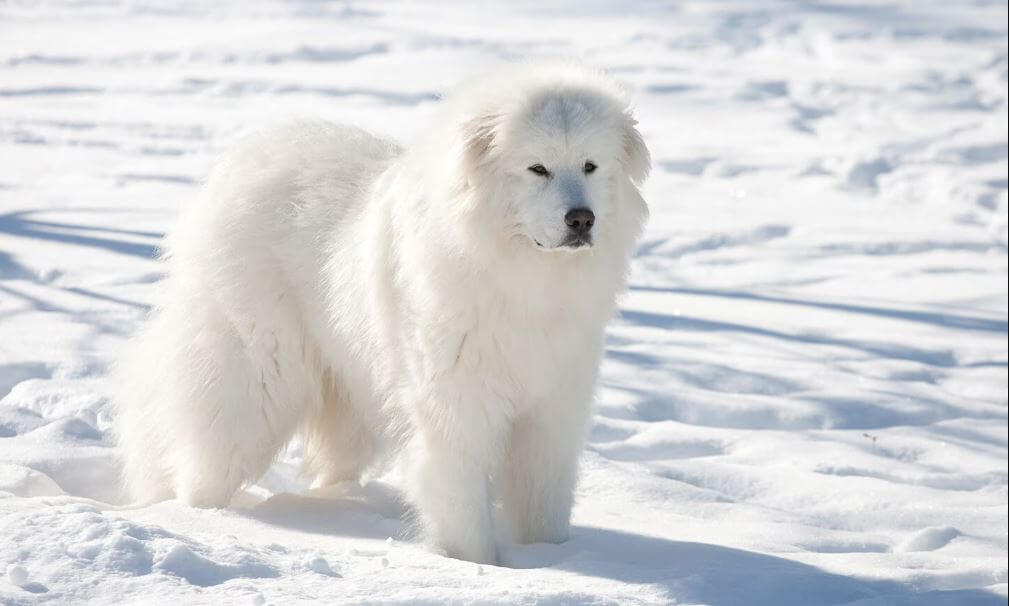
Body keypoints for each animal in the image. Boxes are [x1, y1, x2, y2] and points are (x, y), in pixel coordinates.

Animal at [116, 61, 653, 560]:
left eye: (590, 166)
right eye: (537, 168)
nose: (581, 219)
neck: (520, 276)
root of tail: (238, 165)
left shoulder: (551, 411)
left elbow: (544, 500)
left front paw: (550, 557)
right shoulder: (456, 408)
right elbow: (461, 502)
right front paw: (475, 565)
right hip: (258, 378)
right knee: (209, 453)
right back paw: (198, 518)